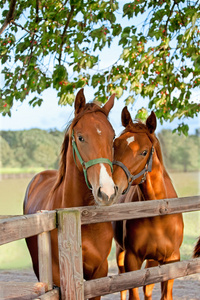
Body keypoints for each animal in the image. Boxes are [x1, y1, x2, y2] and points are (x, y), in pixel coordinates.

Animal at [111, 107, 184, 300]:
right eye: (115, 145)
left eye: (144, 152)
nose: (112, 186)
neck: (158, 214)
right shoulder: (132, 259)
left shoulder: (172, 261)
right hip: (120, 253)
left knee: (148, 289)